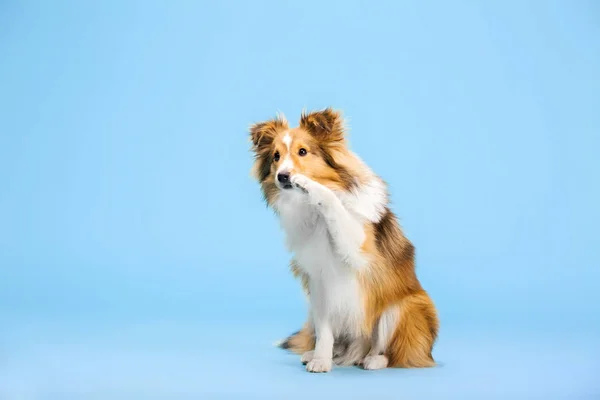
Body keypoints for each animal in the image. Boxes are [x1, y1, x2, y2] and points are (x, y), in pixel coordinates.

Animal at [246, 107, 438, 372]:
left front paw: (310, 185)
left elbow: (332, 201)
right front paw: (321, 360)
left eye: (303, 151)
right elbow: (325, 331)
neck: (311, 210)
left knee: (391, 351)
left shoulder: (360, 252)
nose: (283, 177)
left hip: (404, 307)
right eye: (276, 156)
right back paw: (322, 354)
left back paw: (374, 359)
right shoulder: (320, 282)